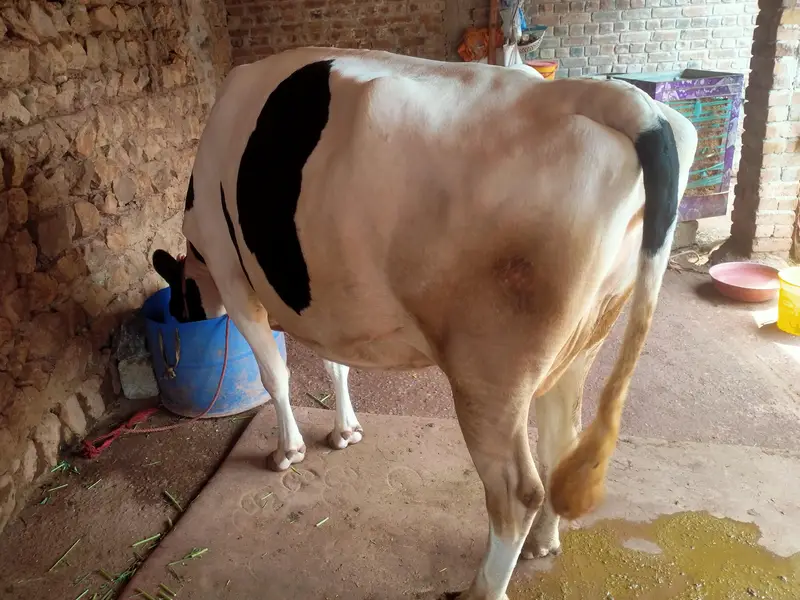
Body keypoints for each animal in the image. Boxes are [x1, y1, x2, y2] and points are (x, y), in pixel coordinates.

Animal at [151, 47, 697, 600]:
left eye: (179, 296)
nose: (179, 311)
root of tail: (611, 96)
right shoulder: (327, 302)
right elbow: (335, 365)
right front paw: (345, 431)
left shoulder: (233, 276)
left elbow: (275, 377)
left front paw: (288, 451)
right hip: (582, 343)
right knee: (561, 445)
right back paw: (544, 542)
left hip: (489, 373)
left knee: (516, 491)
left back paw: (483, 587)